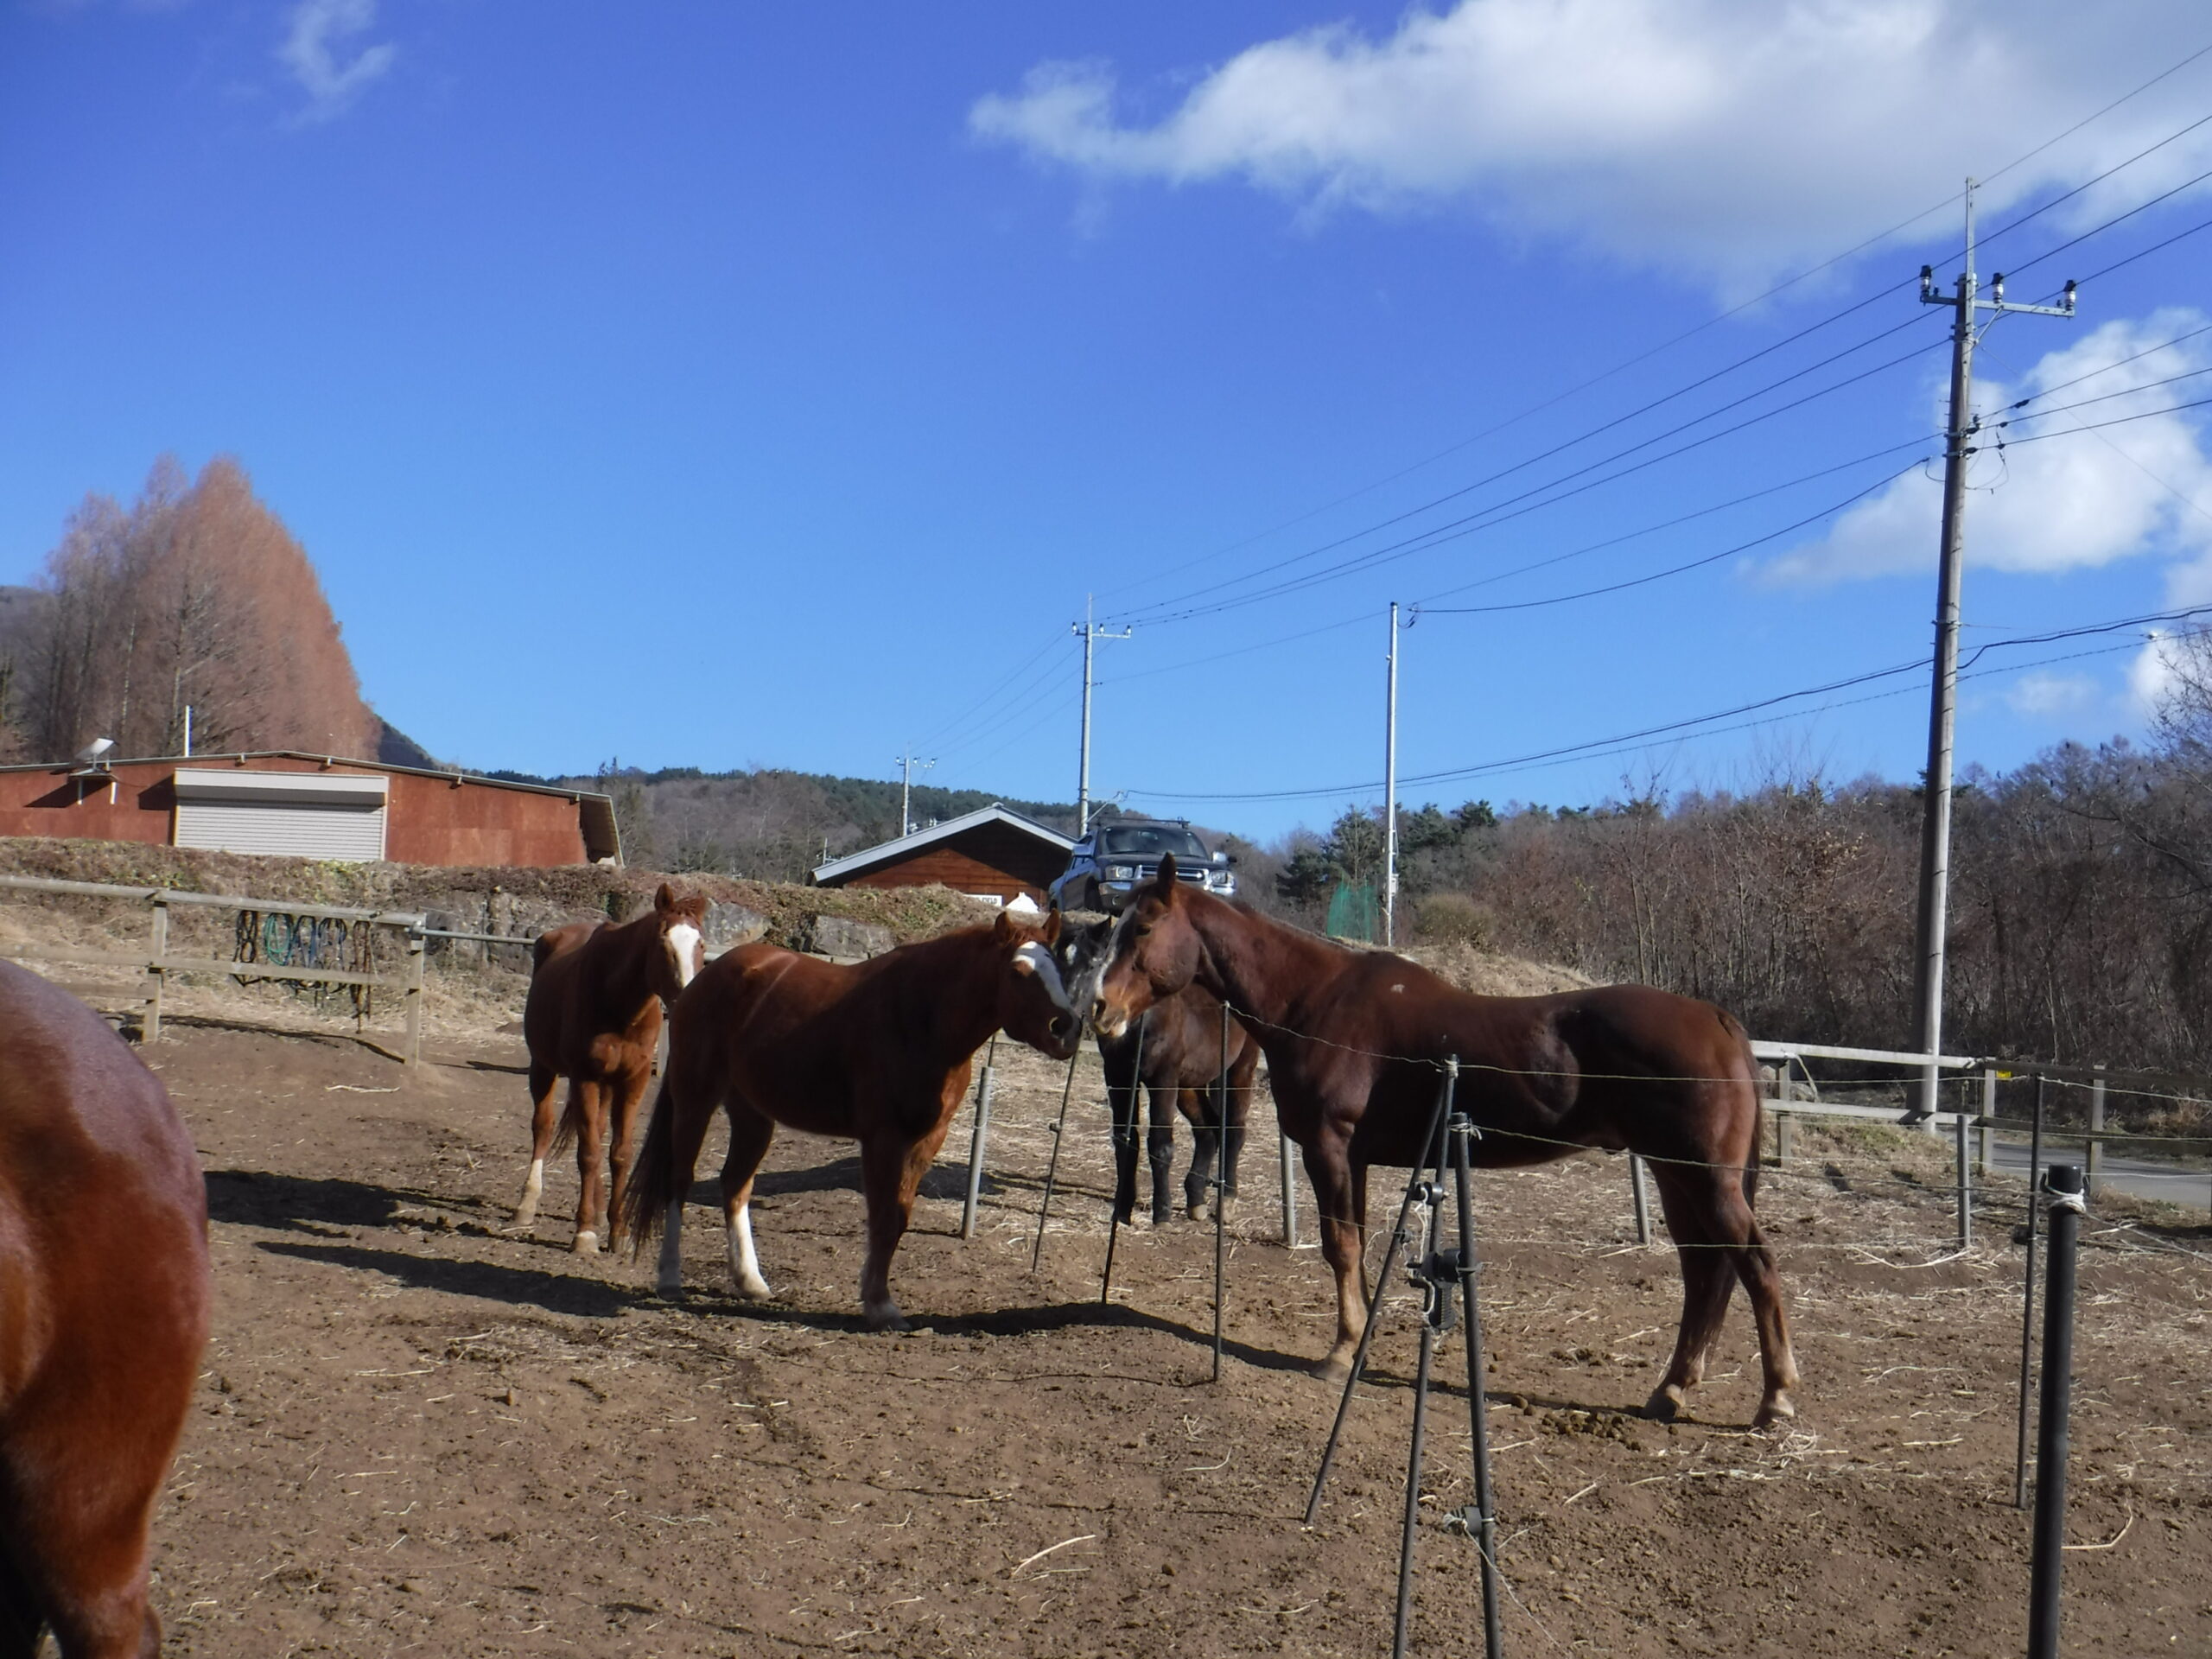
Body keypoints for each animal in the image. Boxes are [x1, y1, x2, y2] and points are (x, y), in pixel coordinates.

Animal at [512, 889, 703, 1256]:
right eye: (663, 941)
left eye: (701, 943)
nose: (689, 998)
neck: (618, 1001)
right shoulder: (584, 1077)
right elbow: (588, 1154)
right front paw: (585, 1233)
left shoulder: (632, 1081)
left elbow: (619, 1153)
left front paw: (619, 1230)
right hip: (544, 1067)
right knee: (543, 1128)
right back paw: (527, 1203)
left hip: (607, 1085)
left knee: (597, 1131)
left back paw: (601, 1212)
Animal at [623, 902, 1079, 1336]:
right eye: (1018, 972)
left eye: (1061, 968)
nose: (1067, 1029)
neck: (921, 1019)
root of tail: (704, 980)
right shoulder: (883, 1139)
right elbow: (883, 1218)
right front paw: (879, 1306)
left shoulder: (927, 1140)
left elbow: (898, 1217)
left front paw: (880, 1300)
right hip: (695, 1099)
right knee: (679, 1180)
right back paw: (669, 1277)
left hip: (753, 1115)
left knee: (735, 1185)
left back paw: (750, 1281)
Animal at [1057, 915, 1265, 1230]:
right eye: (1059, 958)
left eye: (1094, 963)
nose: (1065, 1020)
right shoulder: (1119, 1079)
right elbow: (1125, 1141)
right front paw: (1122, 1209)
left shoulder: (1162, 1080)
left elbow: (1161, 1144)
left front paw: (1162, 1212)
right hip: (1190, 1084)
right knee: (1208, 1130)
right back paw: (1196, 1200)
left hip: (1238, 1070)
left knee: (1234, 1130)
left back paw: (1227, 1201)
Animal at [1088, 858, 1796, 1433]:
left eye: (1144, 928)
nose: (1100, 1009)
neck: (1316, 1002)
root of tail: (1720, 1023)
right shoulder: (1356, 1158)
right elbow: (1353, 1248)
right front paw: (1356, 1341)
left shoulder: (1330, 1149)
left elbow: (1340, 1248)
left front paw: (1339, 1354)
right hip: (1677, 1177)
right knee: (1705, 1273)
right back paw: (1672, 1390)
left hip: (1704, 1178)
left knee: (1754, 1264)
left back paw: (1775, 1398)